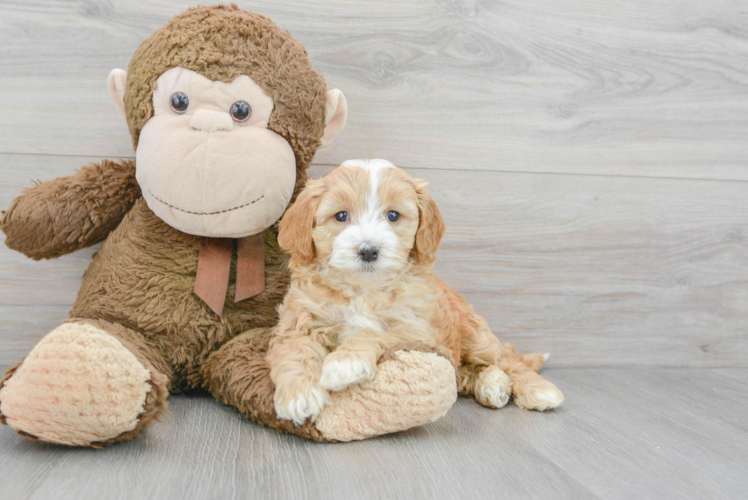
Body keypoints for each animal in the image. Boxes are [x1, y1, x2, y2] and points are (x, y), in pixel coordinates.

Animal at [268, 158, 560, 424]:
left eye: (393, 215)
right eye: (341, 216)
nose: (368, 250)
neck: (364, 289)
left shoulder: (415, 330)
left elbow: (372, 332)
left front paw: (345, 363)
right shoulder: (301, 321)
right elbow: (297, 351)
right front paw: (298, 395)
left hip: (475, 334)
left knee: (507, 359)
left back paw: (538, 390)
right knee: (472, 371)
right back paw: (493, 385)